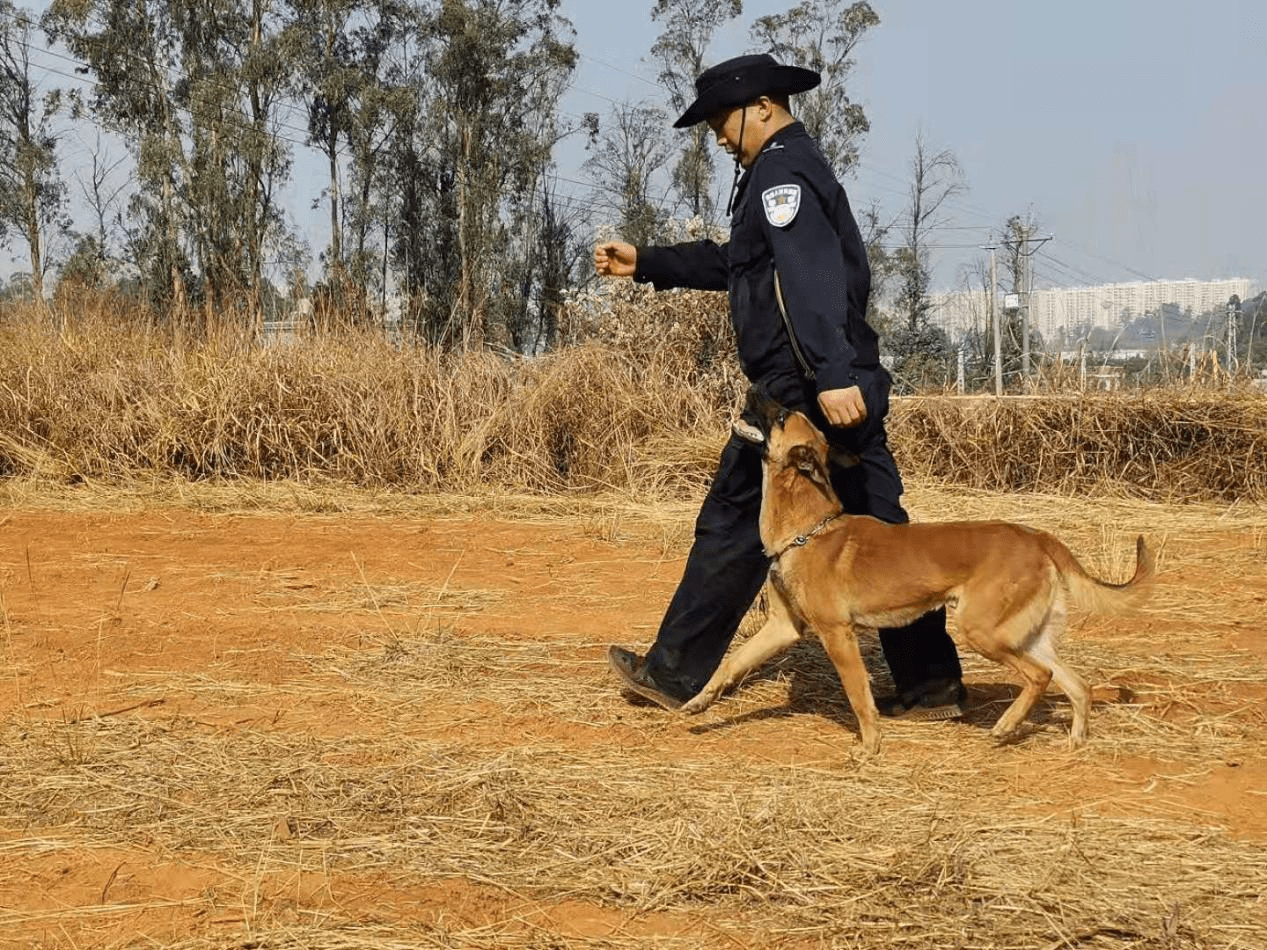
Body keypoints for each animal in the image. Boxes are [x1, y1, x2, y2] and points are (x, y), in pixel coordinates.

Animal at [684, 390, 1160, 754]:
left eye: (781, 415)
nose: (753, 386)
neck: (808, 530)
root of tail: (1036, 536)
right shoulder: (783, 627)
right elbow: (729, 664)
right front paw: (697, 704)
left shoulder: (838, 635)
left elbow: (858, 696)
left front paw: (870, 746)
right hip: (1026, 635)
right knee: (1076, 686)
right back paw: (1074, 741)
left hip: (983, 632)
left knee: (1039, 677)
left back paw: (1005, 727)